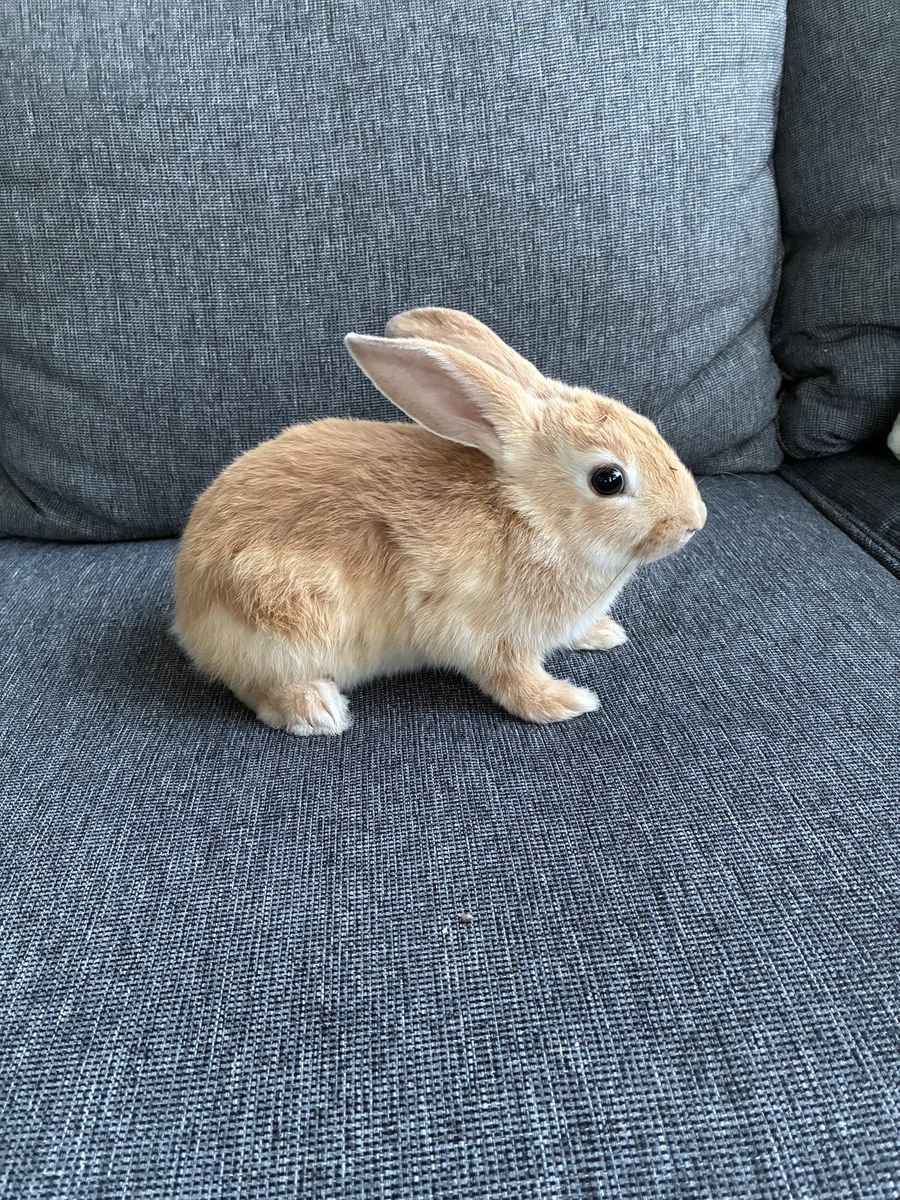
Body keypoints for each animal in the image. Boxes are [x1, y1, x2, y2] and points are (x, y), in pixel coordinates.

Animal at [172, 308, 706, 735]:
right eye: (608, 479)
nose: (695, 521)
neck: (530, 514)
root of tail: (188, 602)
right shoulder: (489, 638)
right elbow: (512, 679)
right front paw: (566, 702)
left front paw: (603, 633)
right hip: (283, 616)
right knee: (255, 685)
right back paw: (317, 711)